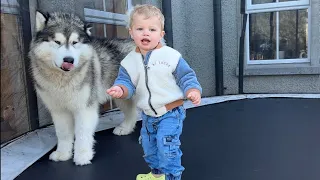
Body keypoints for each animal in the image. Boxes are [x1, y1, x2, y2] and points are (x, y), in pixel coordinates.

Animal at [30, 11, 139, 165]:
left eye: (75, 42)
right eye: (57, 42)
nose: (69, 60)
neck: (63, 80)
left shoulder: (84, 108)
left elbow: (82, 132)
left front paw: (82, 155)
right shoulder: (58, 110)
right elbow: (63, 133)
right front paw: (63, 153)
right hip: (122, 95)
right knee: (132, 111)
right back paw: (125, 128)